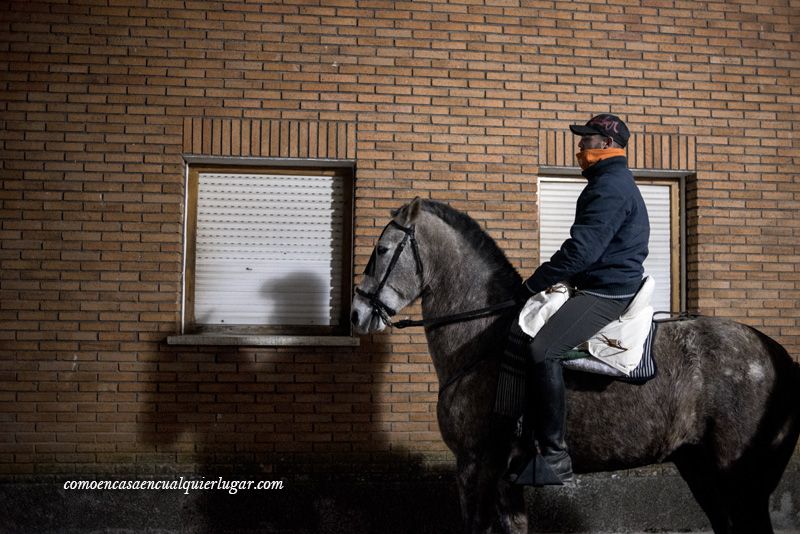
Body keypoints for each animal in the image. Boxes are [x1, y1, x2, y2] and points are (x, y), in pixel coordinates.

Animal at [354, 199, 800, 532]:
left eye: (381, 250)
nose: (357, 313)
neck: (484, 340)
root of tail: (777, 354)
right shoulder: (504, 478)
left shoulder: (474, 464)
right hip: (701, 469)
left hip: (738, 478)